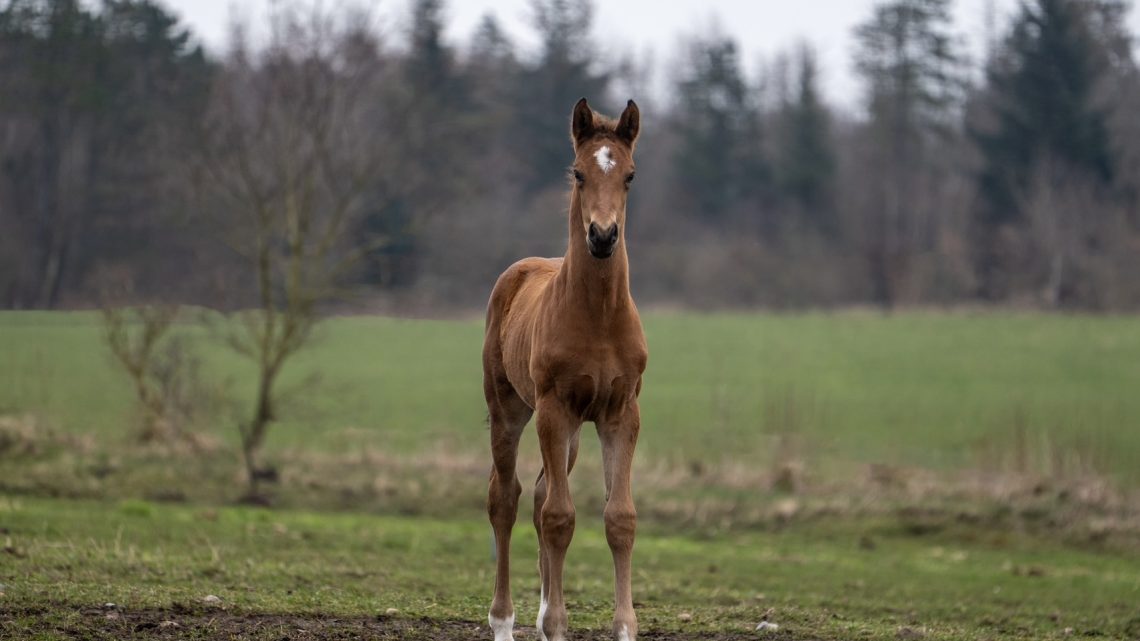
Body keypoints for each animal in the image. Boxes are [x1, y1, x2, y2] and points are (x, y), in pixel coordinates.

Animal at [478, 95, 647, 638]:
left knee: (536, 494)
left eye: (630, 175)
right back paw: (505, 620)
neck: (598, 316)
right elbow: (559, 517)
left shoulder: (621, 413)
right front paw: (556, 624)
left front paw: (624, 626)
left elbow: (619, 518)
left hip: (571, 433)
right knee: (506, 498)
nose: (603, 236)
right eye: (577, 172)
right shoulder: (554, 409)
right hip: (511, 409)